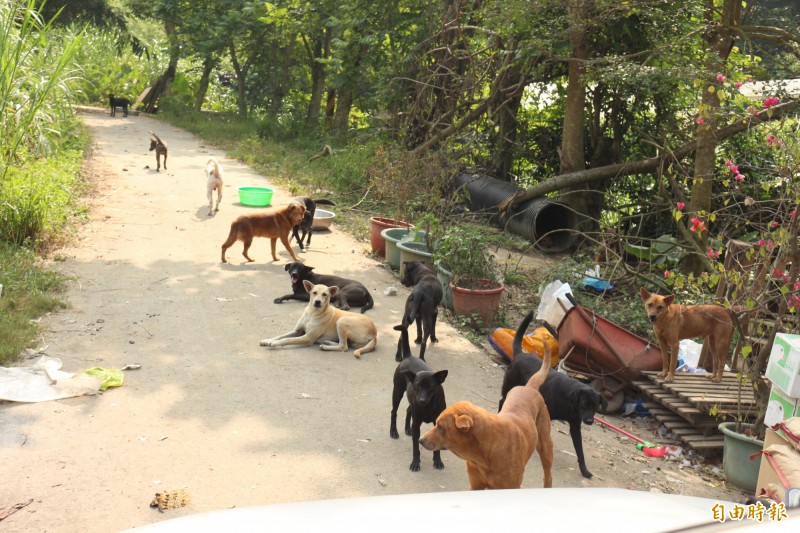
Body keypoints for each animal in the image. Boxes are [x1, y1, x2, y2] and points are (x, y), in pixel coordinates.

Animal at [390, 322, 446, 472]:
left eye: (430, 387)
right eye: (417, 386)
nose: (421, 400)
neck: (428, 406)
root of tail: (408, 356)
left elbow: (436, 447)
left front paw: (437, 461)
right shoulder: (417, 424)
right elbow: (416, 447)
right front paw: (415, 463)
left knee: (408, 410)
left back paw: (407, 428)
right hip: (397, 392)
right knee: (394, 411)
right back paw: (393, 431)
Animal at [416, 340, 552, 486]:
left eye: (440, 427)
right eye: (436, 424)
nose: (420, 440)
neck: (485, 453)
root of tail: (529, 387)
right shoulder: (476, 485)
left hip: (546, 449)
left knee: (548, 476)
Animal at [500, 308, 608, 478]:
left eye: (595, 407)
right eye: (584, 404)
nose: (590, 421)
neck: (570, 402)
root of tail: (520, 354)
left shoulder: (575, 425)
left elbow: (580, 451)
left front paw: (584, 470)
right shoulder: (547, 415)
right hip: (508, 387)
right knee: (501, 401)